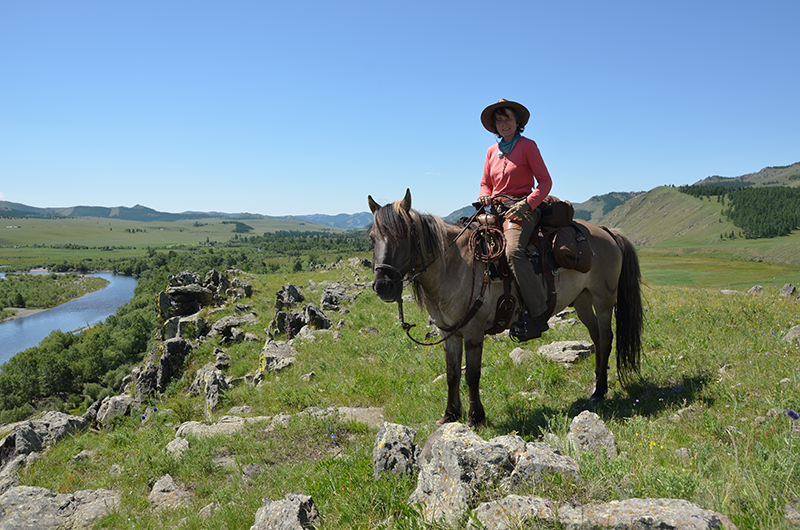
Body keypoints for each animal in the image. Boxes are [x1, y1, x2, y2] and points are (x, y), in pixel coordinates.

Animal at [368, 190, 644, 424]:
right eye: (372, 238)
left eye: (405, 234)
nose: (383, 286)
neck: (455, 265)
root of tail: (607, 232)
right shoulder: (449, 331)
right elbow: (452, 373)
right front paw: (450, 414)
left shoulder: (473, 330)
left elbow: (472, 375)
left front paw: (475, 417)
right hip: (583, 299)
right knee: (596, 337)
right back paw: (597, 386)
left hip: (603, 299)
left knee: (606, 338)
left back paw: (600, 391)